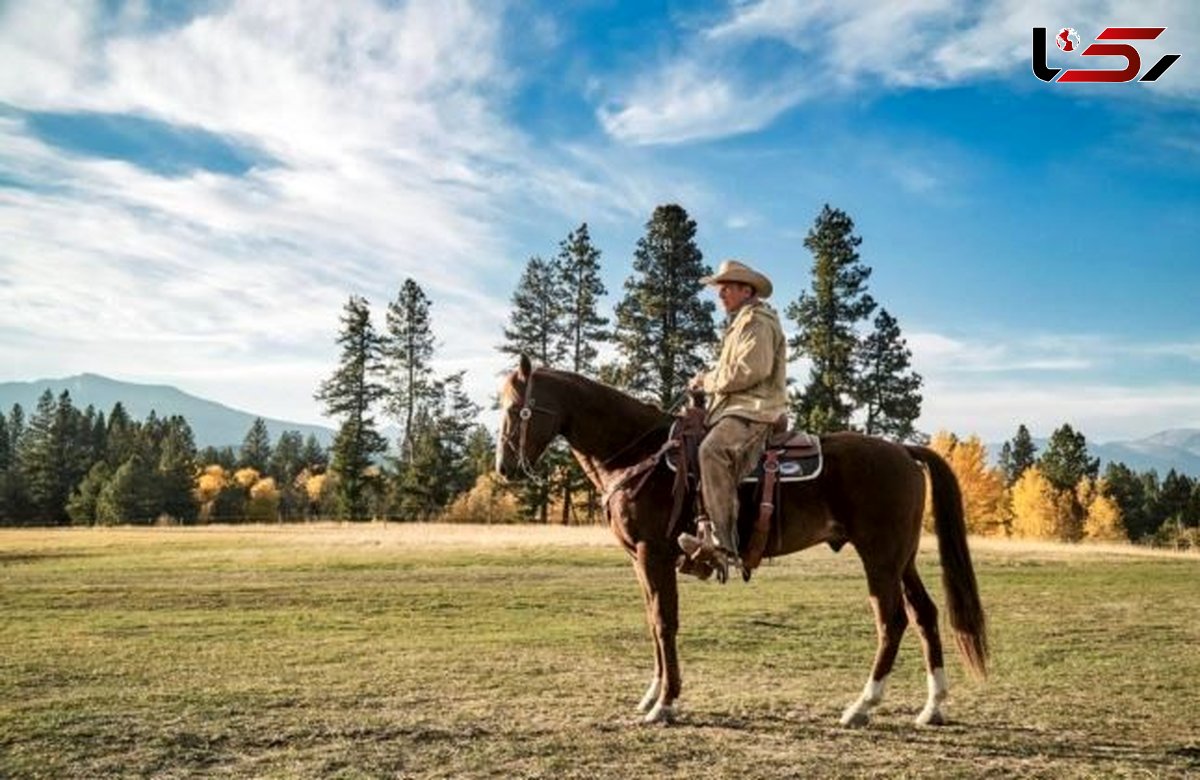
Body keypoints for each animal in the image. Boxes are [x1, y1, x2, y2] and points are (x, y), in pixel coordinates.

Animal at [496, 355, 984, 724]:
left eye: (515, 408)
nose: (504, 467)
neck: (638, 453)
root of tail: (903, 450)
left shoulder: (654, 554)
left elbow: (664, 622)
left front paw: (666, 704)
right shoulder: (639, 559)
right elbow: (653, 623)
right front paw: (652, 694)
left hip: (879, 557)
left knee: (892, 621)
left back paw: (861, 706)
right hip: (902, 558)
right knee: (925, 615)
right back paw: (931, 707)